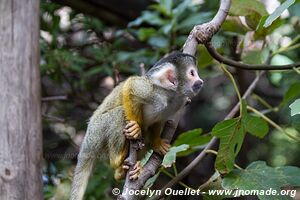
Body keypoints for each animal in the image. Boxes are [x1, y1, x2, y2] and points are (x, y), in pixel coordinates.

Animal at [69, 52, 203, 200]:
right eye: (192, 73)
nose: (201, 81)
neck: (170, 95)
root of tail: (87, 142)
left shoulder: (178, 103)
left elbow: (159, 120)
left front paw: (157, 143)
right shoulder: (152, 91)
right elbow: (131, 85)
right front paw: (135, 128)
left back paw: (121, 172)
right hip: (96, 132)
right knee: (119, 113)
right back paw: (117, 159)